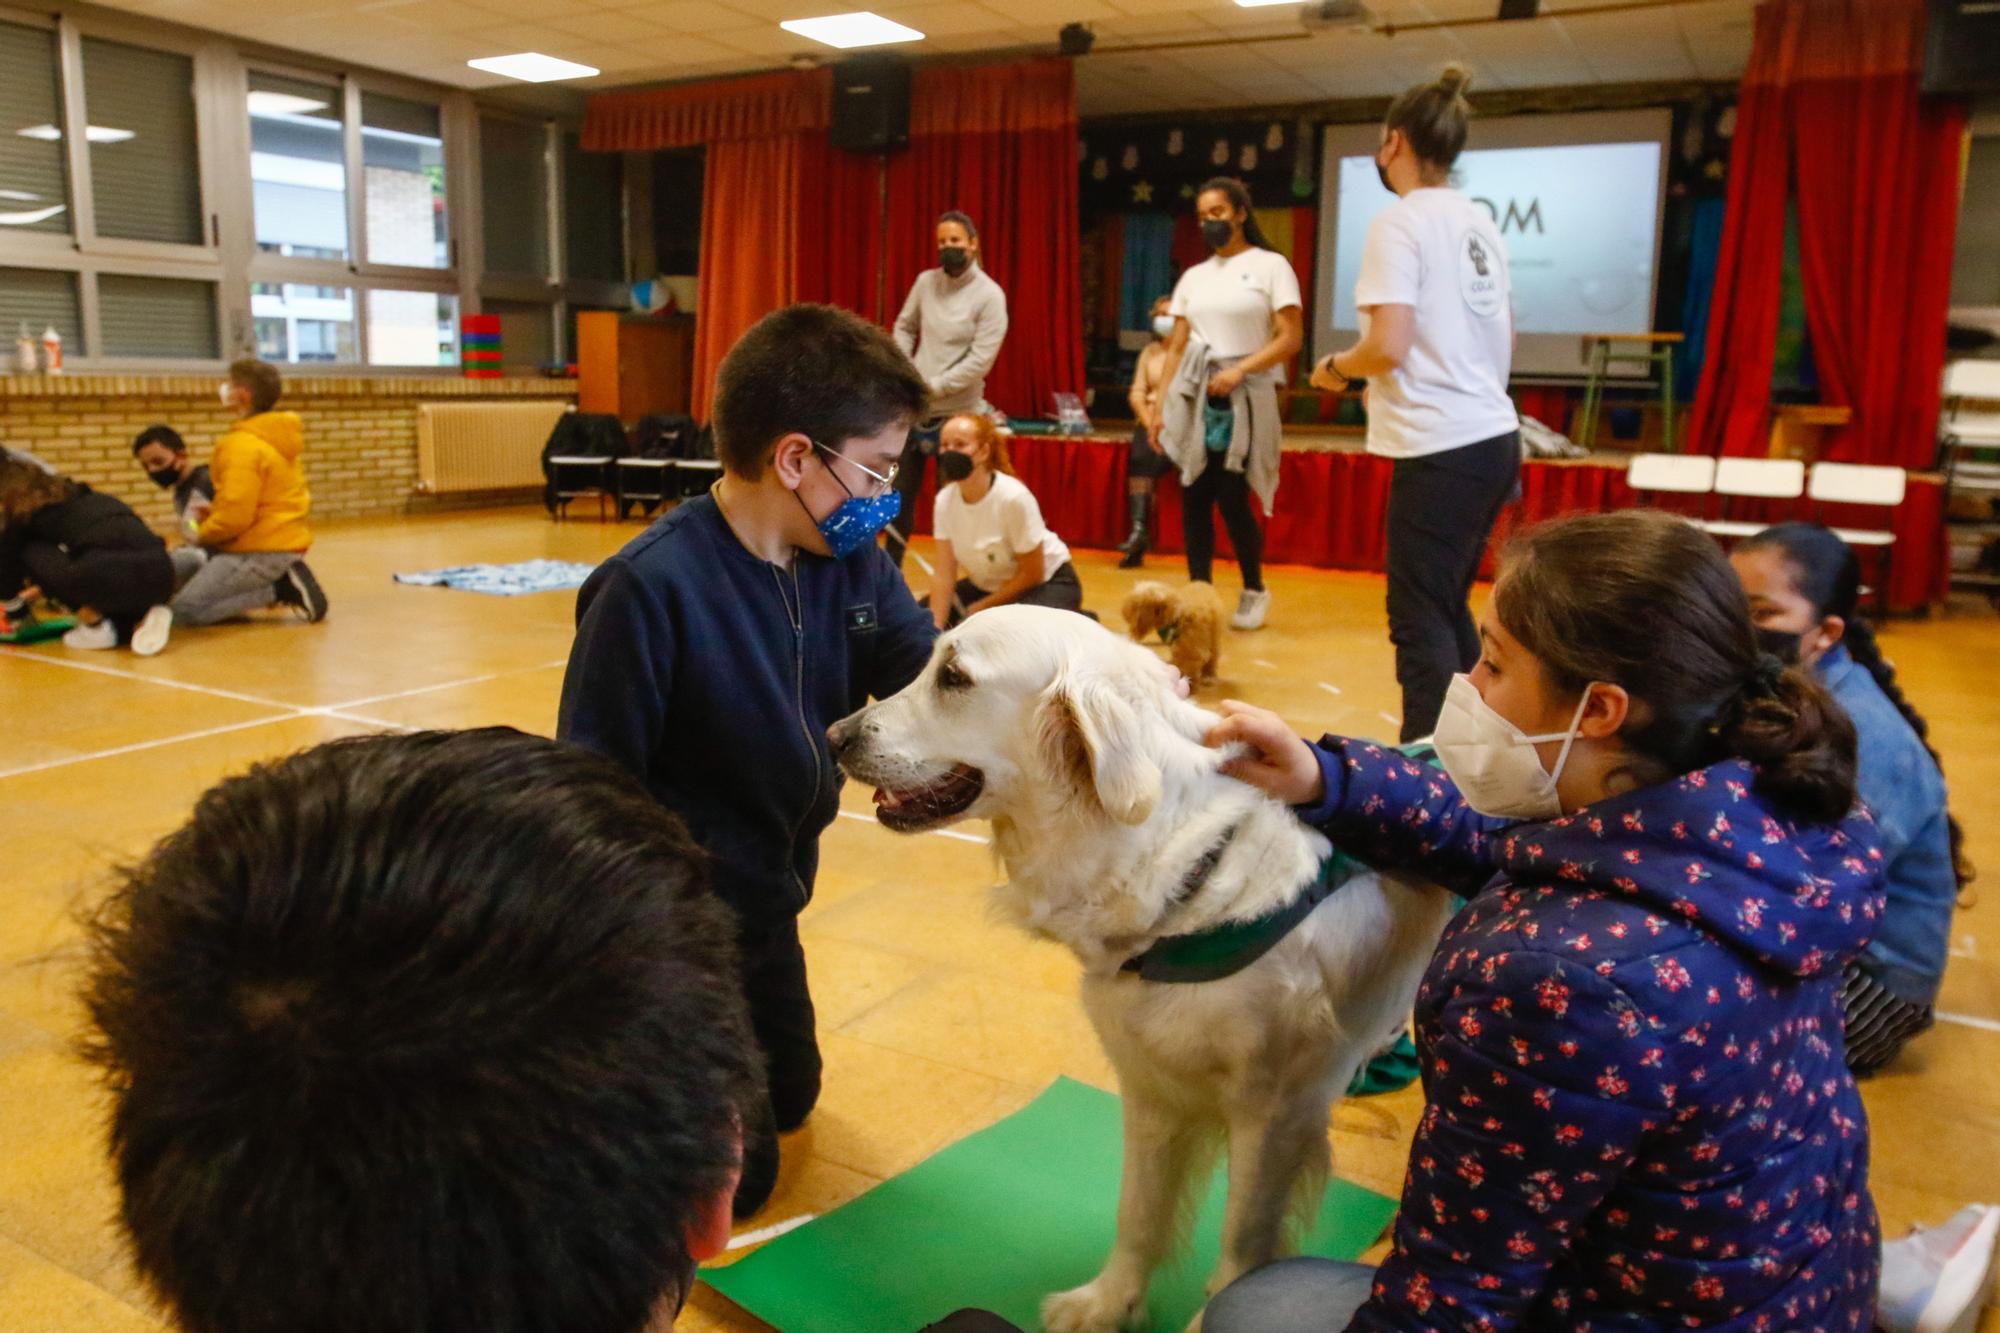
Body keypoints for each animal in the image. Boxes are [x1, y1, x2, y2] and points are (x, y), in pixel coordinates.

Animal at [828, 604, 1456, 1328]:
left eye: (953, 677)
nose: (834, 735)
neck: (1187, 878)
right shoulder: (1151, 1085)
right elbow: (1138, 1211)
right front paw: (1107, 1302)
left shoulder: (1273, 1113)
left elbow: (1241, 1247)